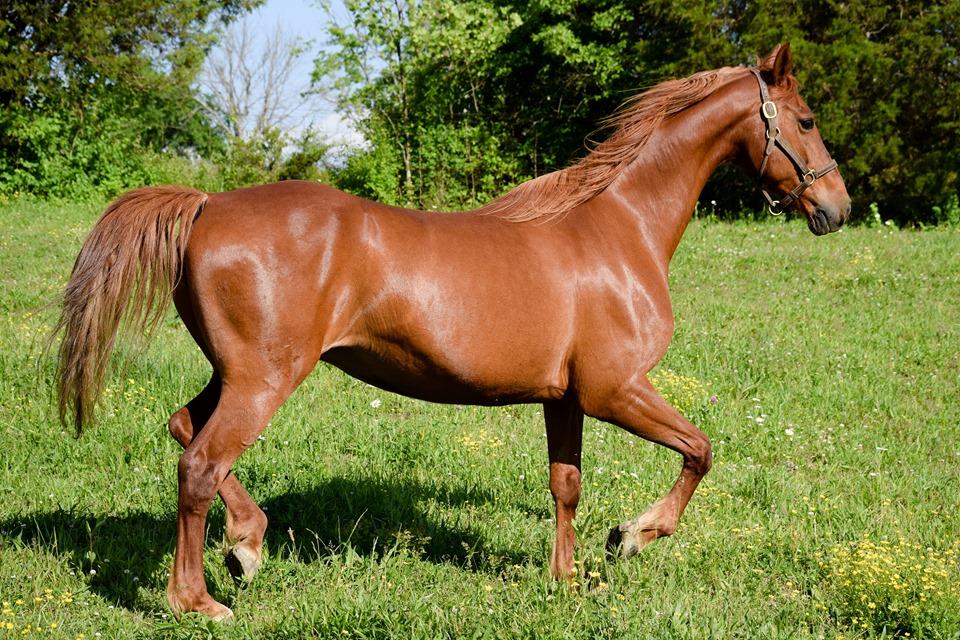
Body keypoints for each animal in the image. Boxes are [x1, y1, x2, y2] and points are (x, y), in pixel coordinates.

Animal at [52, 45, 848, 620]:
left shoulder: (564, 398)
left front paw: (564, 580)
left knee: (183, 428)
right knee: (198, 465)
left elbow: (566, 485)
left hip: (236, 374)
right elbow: (700, 450)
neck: (620, 229)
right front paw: (632, 536)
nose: (836, 208)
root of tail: (207, 203)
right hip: (263, 380)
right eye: (806, 121)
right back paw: (198, 600)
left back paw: (247, 546)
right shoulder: (615, 390)